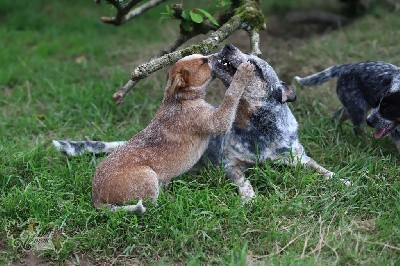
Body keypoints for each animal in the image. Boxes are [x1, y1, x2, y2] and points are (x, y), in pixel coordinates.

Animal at [92, 55, 253, 213]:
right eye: (204, 61)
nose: (218, 55)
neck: (181, 98)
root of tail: (96, 197)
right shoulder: (217, 120)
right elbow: (231, 96)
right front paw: (242, 73)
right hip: (149, 177)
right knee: (152, 205)